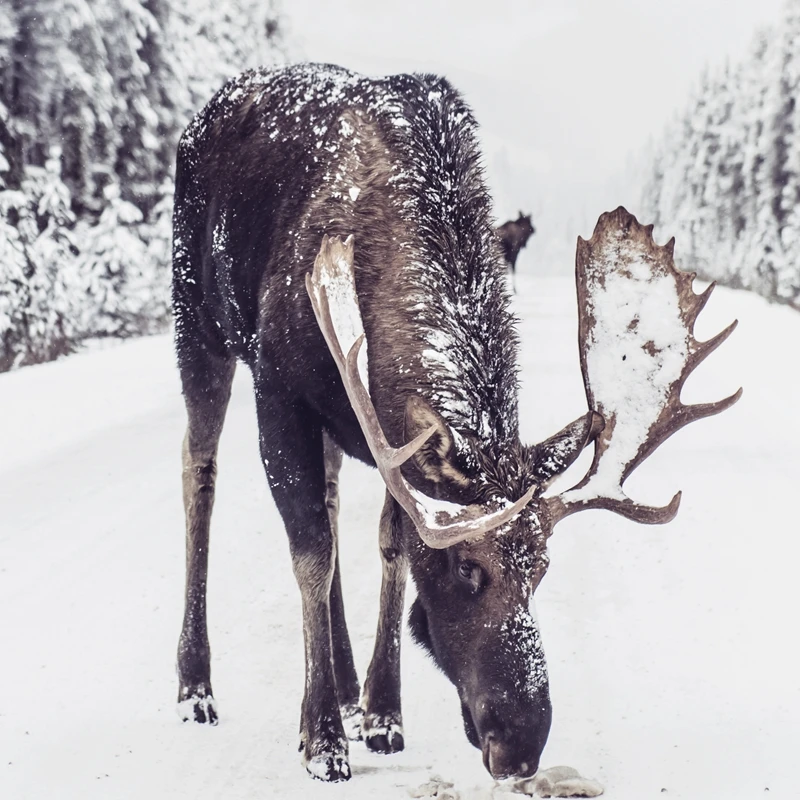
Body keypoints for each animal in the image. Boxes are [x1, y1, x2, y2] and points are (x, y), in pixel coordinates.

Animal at [172, 61, 740, 780]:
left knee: (328, 497)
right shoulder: (279, 387)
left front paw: (383, 711)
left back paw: (348, 682)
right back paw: (196, 686)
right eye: (467, 569)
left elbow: (388, 545)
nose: (521, 745)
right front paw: (321, 738)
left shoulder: (386, 431)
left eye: (542, 569)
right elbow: (311, 555)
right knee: (200, 474)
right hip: (197, 326)